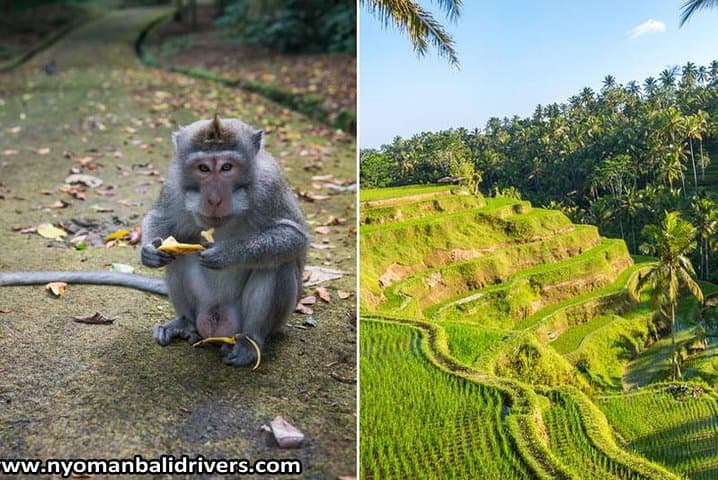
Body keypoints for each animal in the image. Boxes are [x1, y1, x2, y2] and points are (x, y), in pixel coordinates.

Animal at [0, 115, 309, 367]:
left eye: (227, 167)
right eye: (203, 169)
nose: (213, 198)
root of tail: (217, 328)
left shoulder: (270, 184)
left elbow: (294, 237)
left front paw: (228, 254)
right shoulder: (173, 183)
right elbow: (163, 218)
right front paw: (148, 251)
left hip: (261, 322)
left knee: (276, 264)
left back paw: (249, 342)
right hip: (203, 306)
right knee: (180, 254)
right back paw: (183, 324)